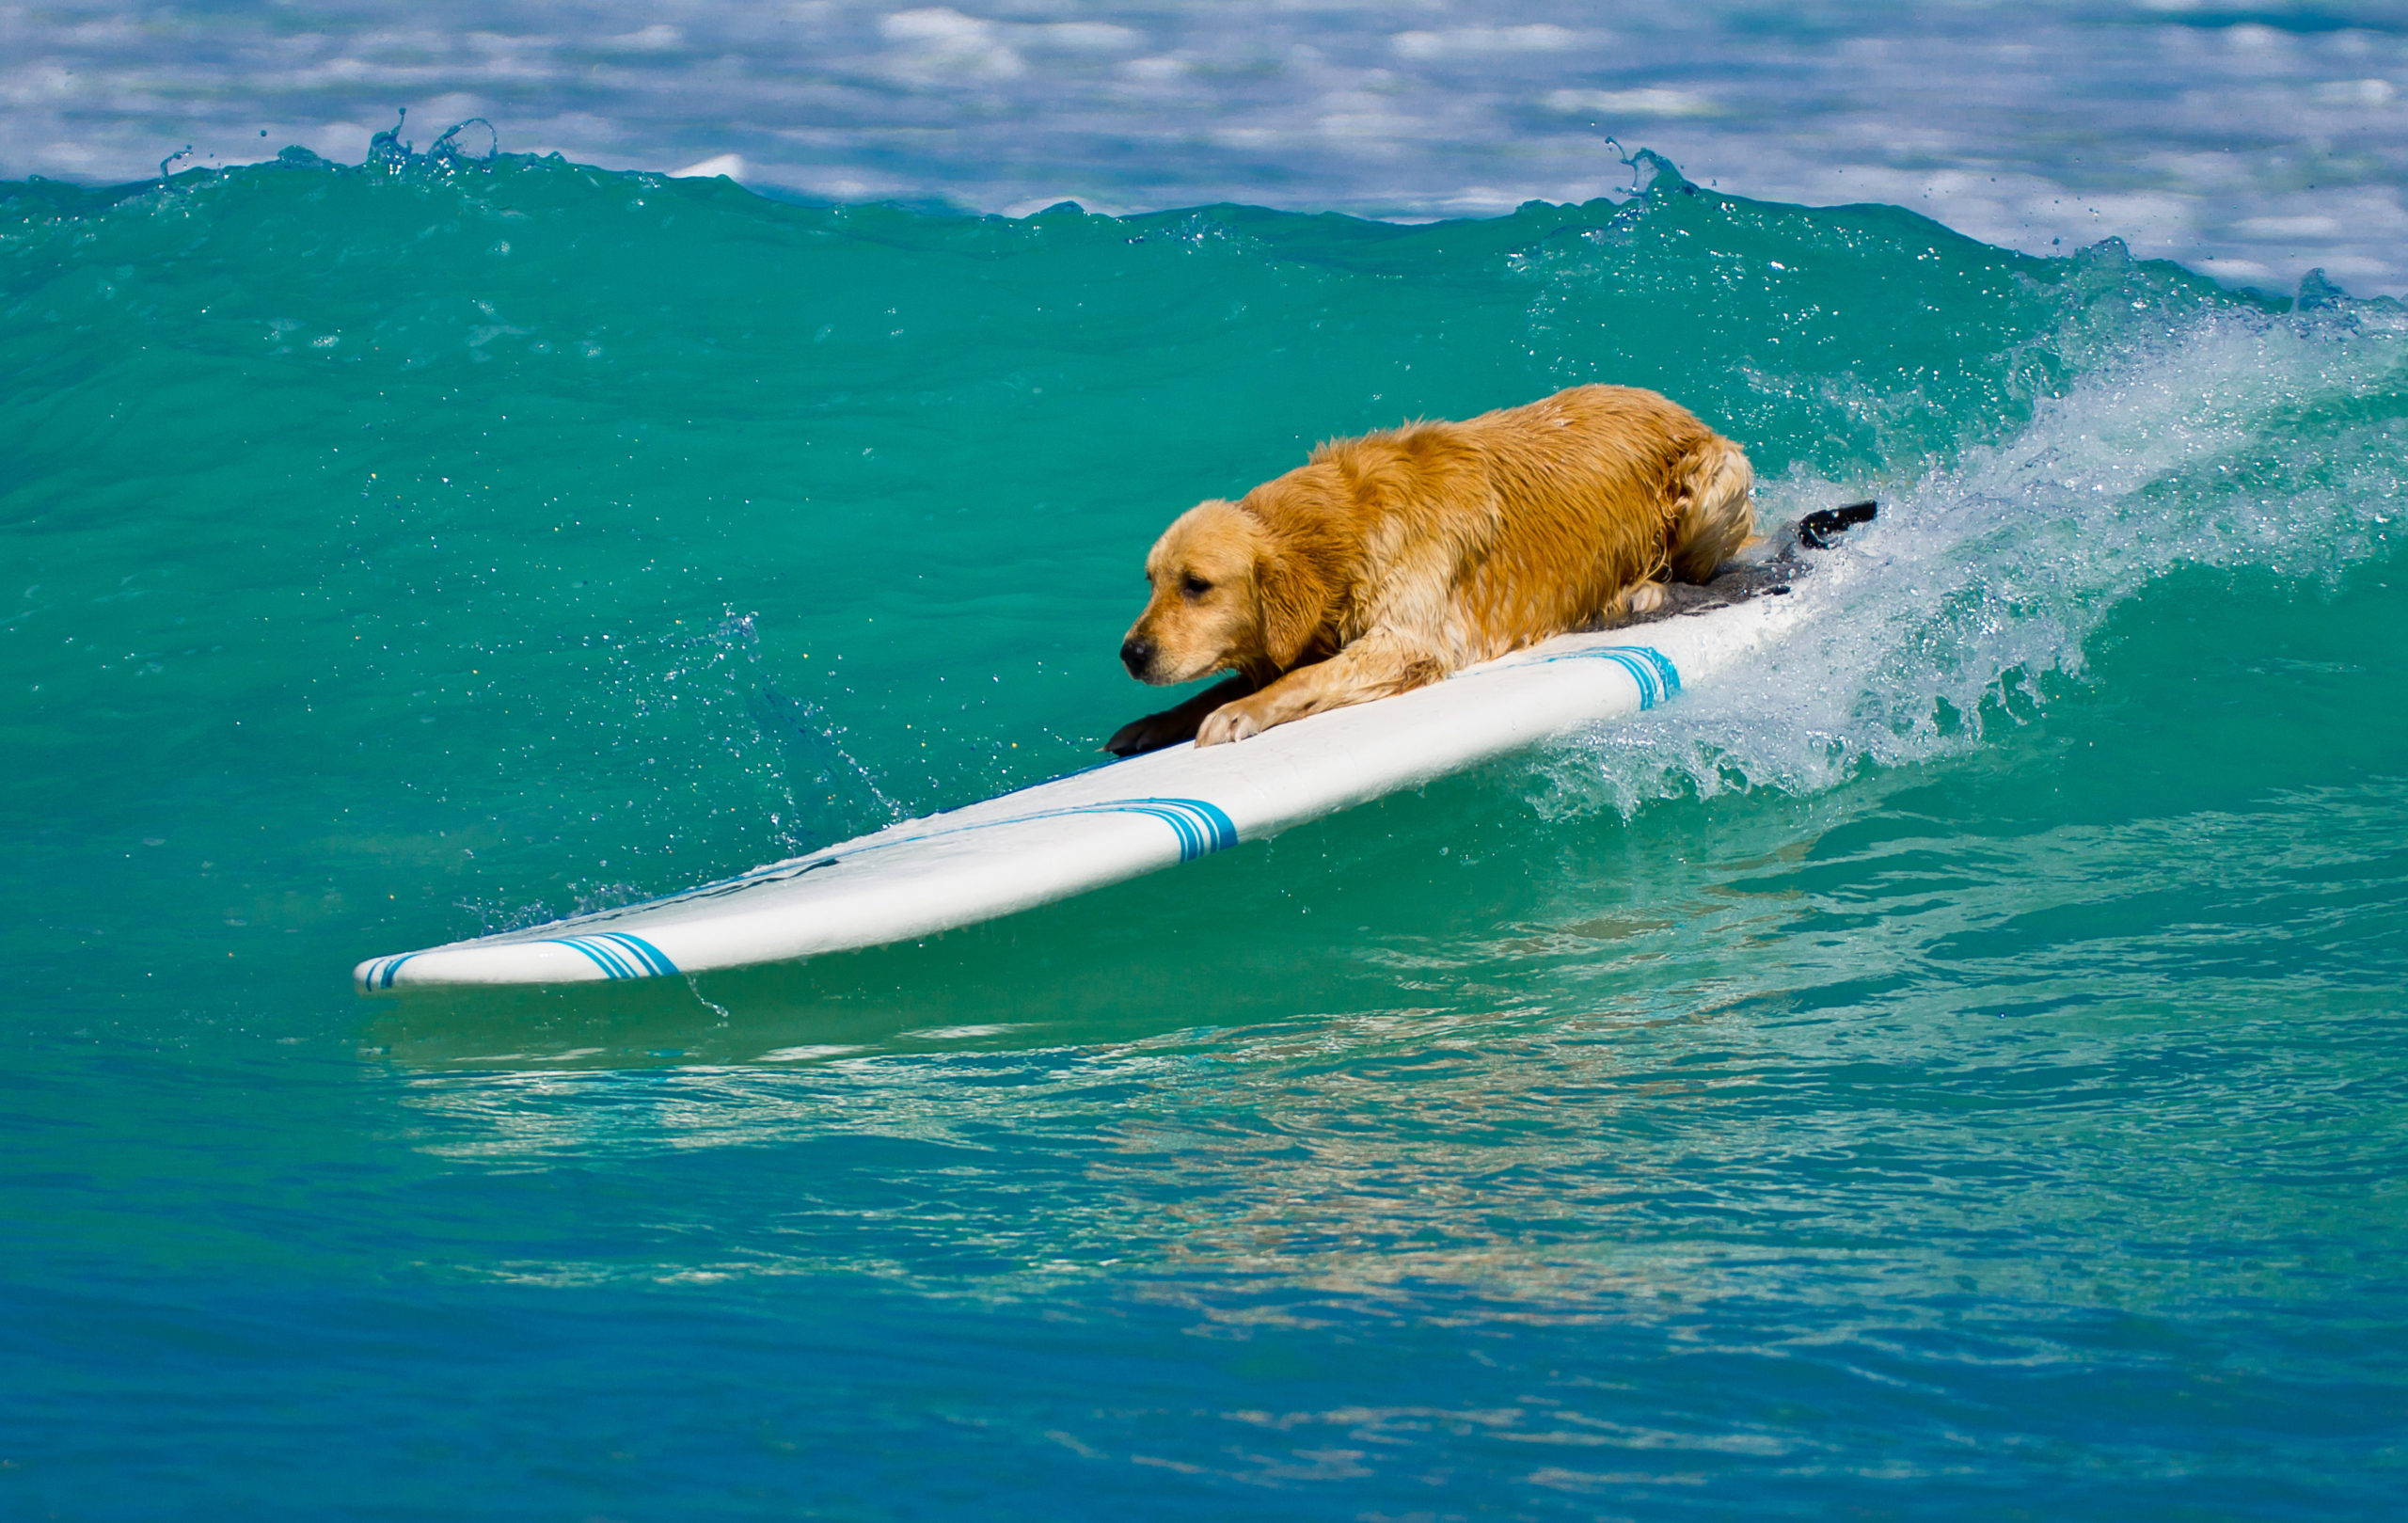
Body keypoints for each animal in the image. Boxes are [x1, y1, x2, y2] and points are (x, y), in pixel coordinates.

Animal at [1102, 385, 1752, 756]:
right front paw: (1154, 723)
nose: (1131, 654)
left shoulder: (1409, 638)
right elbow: (1234, 679)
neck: (1346, 525)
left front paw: (1240, 712)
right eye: (1152, 581)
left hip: (1715, 478)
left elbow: (1301, 677)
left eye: (1197, 585)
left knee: (1695, 569)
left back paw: (1638, 592)